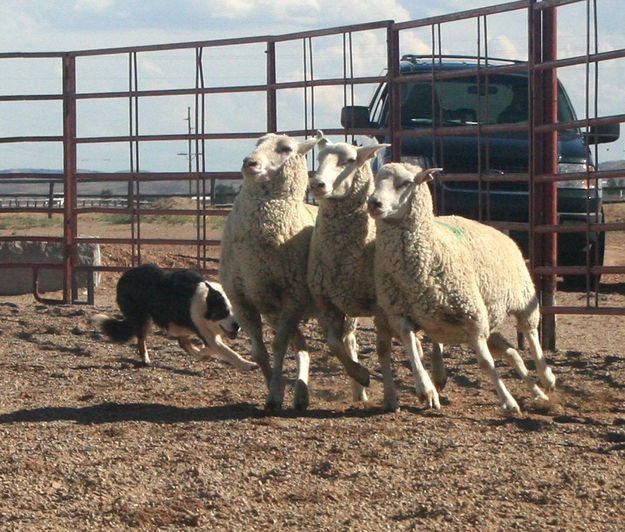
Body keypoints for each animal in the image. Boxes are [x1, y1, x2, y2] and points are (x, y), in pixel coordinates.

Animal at [218, 132, 368, 412]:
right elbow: (259, 352)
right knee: (304, 346)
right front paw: (272, 385)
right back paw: (301, 393)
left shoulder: (292, 297)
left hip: (330, 305)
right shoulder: (243, 300)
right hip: (281, 311)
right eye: (257, 142)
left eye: (286, 148)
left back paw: (360, 385)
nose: (249, 163)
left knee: (346, 340)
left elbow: (278, 346)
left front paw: (275, 393)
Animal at [306, 139, 444, 410]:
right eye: (319, 157)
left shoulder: (381, 306)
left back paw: (437, 374)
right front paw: (360, 375)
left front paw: (392, 396)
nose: (317, 184)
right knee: (349, 340)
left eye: (350, 160)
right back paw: (359, 391)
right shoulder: (324, 302)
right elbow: (333, 343)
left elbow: (383, 350)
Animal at [366, 164, 556, 414]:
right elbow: (412, 348)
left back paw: (546, 377)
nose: (373, 203)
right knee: (512, 351)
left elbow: (486, 362)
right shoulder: (399, 314)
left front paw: (508, 401)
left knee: (531, 333)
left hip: (522, 297)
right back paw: (538, 393)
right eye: (376, 180)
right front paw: (425, 389)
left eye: (406, 182)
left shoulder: (473, 316)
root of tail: (498, 230)